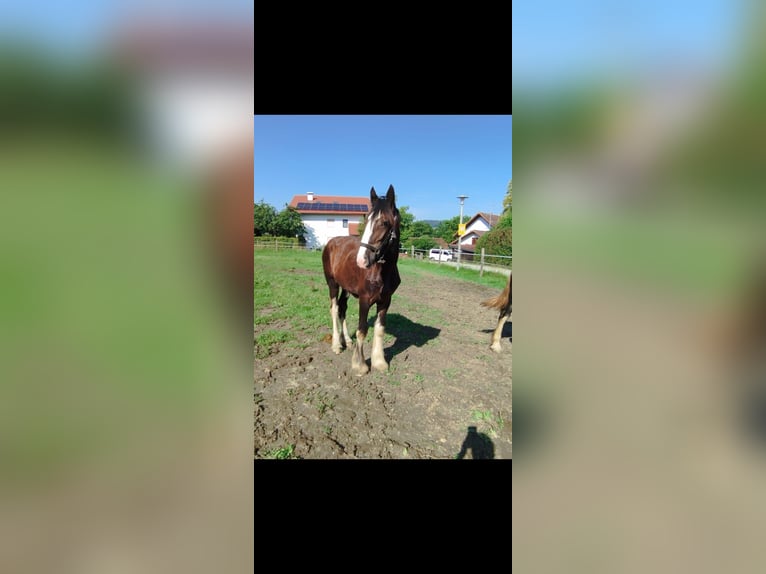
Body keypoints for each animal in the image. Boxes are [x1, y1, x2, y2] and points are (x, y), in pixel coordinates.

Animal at [322, 185, 401, 375]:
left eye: (384, 222)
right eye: (367, 221)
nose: (361, 260)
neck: (382, 272)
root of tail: (331, 243)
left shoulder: (385, 300)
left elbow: (379, 329)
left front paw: (379, 362)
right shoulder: (365, 300)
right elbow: (362, 330)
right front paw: (360, 365)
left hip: (346, 288)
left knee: (342, 308)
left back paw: (347, 341)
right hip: (332, 284)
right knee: (335, 309)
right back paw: (337, 344)